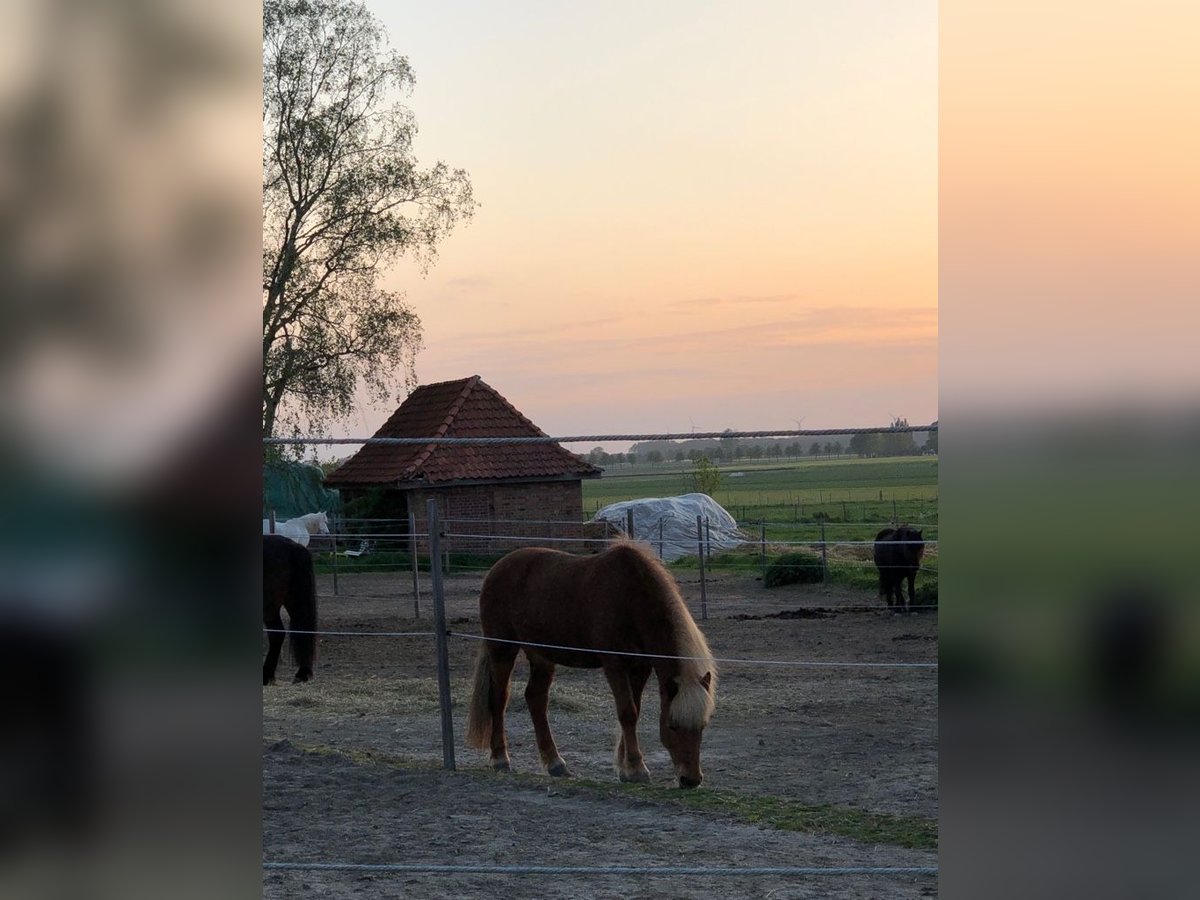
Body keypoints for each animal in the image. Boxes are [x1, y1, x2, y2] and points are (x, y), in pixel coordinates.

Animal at [264, 532, 319, 686]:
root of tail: (292, 546)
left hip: (269, 607)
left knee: (276, 634)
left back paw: (266, 676)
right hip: (292, 600)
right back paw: (302, 673)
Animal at [465, 542, 710, 787]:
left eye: (702, 726)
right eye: (672, 725)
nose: (691, 779)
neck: (630, 598)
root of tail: (497, 567)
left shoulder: (640, 668)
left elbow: (635, 710)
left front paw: (625, 768)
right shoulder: (615, 665)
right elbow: (627, 712)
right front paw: (636, 769)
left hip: (541, 656)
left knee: (536, 699)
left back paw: (555, 763)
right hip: (502, 650)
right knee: (498, 699)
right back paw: (500, 758)